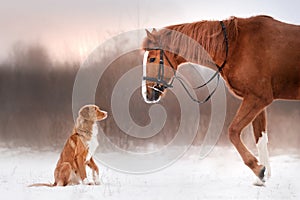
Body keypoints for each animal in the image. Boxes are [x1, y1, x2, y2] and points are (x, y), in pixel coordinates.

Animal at [141, 15, 300, 184]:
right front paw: (262, 175)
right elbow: (260, 139)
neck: (235, 46)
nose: (148, 94)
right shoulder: (258, 102)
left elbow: (233, 131)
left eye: (152, 59)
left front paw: (257, 168)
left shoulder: (257, 98)